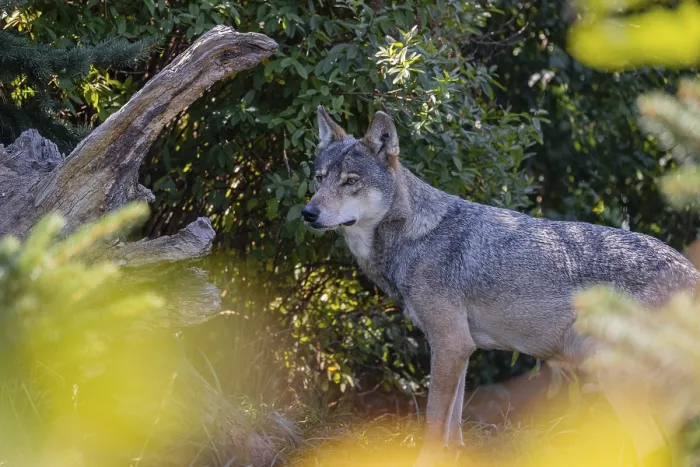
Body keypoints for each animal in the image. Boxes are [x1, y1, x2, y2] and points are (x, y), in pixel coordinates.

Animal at [302, 106, 699, 465]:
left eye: (351, 181)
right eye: (319, 178)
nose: (308, 213)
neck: (414, 234)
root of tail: (689, 271)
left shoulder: (449, 344)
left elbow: (432, 425)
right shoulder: (461, 349)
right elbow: (452, 429)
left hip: (616, 381)